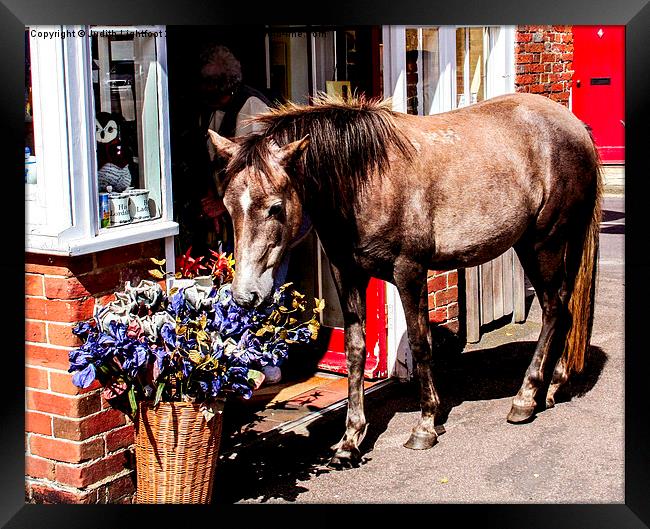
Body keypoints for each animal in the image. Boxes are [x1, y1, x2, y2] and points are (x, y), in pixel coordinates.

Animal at [208, 93, 604, 464]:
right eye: (228, 206)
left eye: (275, 207)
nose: (244, 295)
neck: (365, 180)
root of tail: (576, 128)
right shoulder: (347, 273)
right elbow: (355, 349)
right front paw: (350, 439)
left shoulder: (409, 271)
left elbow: (420, 342)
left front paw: (425, 425)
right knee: (566, 309)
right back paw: (552, 387)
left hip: (544, 242)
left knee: (554, 309)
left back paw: (525, 398)